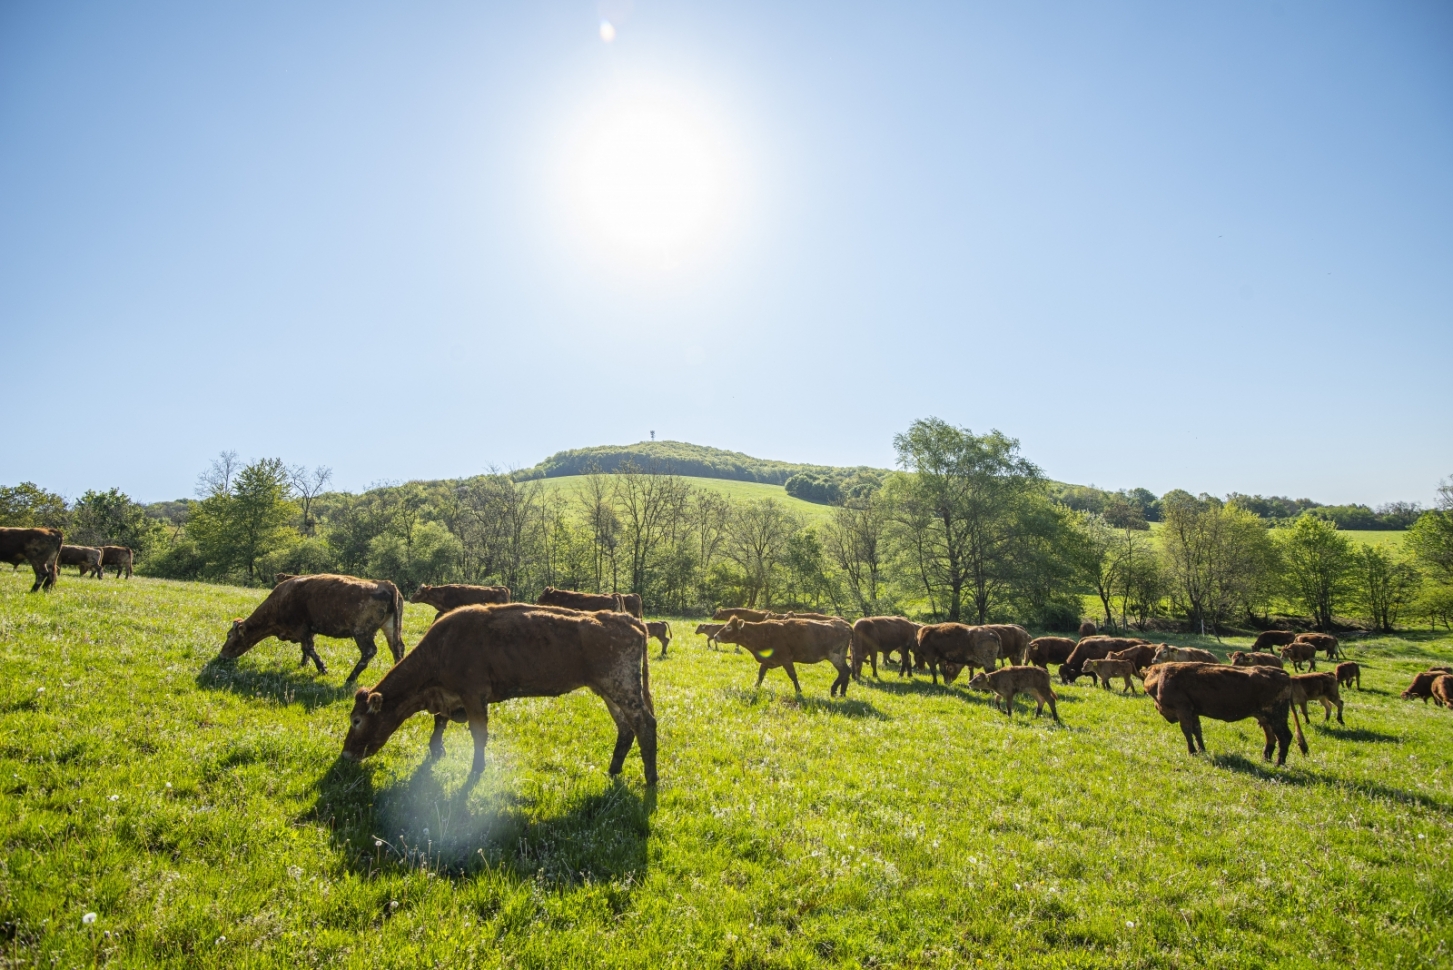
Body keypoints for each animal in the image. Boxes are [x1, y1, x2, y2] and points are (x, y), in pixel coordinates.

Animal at [217, 575, 406, 682]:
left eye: (229, 635)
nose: (221, 655)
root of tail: (386, 584)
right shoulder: (308, 630)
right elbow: (305, 649)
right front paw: (303, 664)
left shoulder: (301, 628)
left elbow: (309, 648)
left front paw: (322, 669)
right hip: (390, 627)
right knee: (397, 648)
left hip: (362, 632)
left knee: (370, 651)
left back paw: (350, 679)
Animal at [340, 601, 653, 784]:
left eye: (357, 721)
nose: (345, 755)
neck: (442, 647)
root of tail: (629, 620)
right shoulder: (450, 697)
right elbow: (440, 720)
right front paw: (437, 750)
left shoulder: (474, 695)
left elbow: (479, 734)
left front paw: (476, 769)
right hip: (609, 692)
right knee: (626, 728)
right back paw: (613, 771)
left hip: (622, 686)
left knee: (645, 723)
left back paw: (651, 782)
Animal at [711, 612, 848, 697]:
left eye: (729, 627)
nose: (716, 636)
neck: (762, 633)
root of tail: (845, 625)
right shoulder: (766, 661)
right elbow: (760, 675)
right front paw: (755, 688)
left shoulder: (786, 659)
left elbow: (793, 675)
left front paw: (798, 691)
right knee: (847, 671)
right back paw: (842, 693)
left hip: (835, 656)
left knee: (845, 671)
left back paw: (834, 690)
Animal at [1144, 659, 1307, 766]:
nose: (1156, 707)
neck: (1161, 677)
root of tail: (1283, 673)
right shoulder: (1193, 712)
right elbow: (1197, 731)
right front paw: (1202, 750)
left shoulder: (1183, 710)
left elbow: (1187, 732)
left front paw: (1192, 752)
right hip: (1264, 718)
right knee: (1271, 737)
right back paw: (1265, 759)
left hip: (1276, 717)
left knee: (1284, 737)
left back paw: (1278, 763)